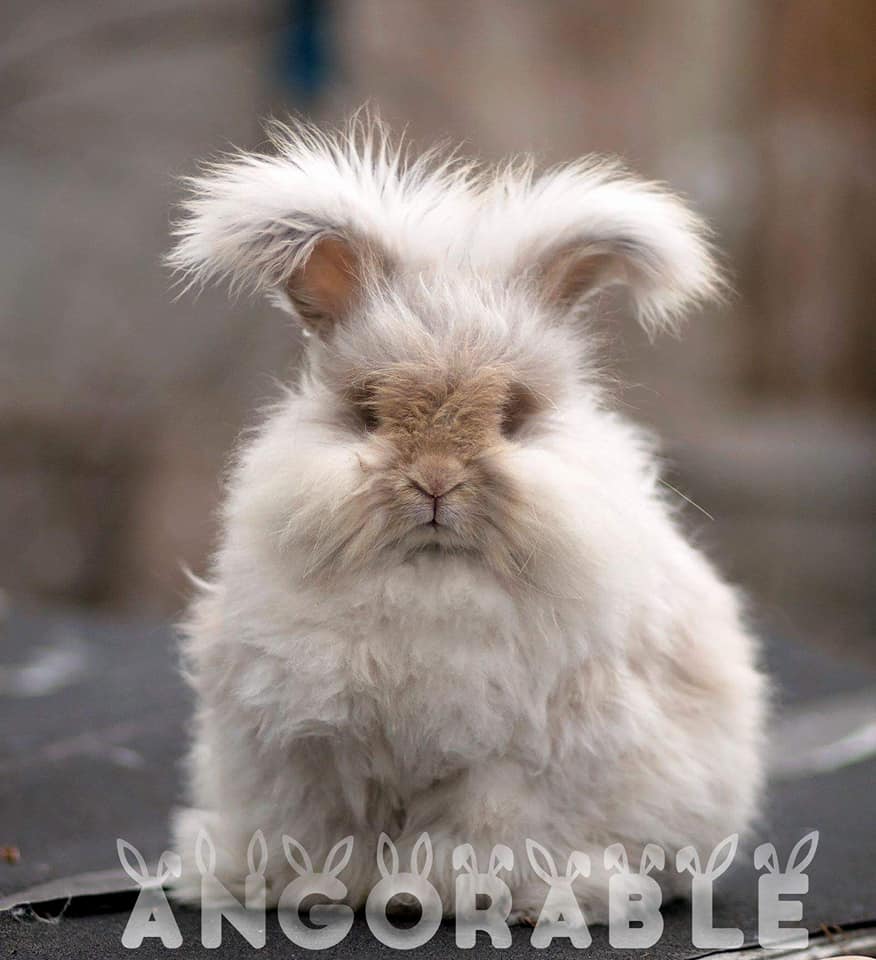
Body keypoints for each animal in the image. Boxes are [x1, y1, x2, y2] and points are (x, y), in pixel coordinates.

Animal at [167, 115, 766, 925]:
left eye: (513, 418)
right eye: (365, 411)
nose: (435, 484)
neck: (427, 576)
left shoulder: (508, 764)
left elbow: (481, 833)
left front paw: (454, 891)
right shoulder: (306, 751)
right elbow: (321, 830)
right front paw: (304, 886)